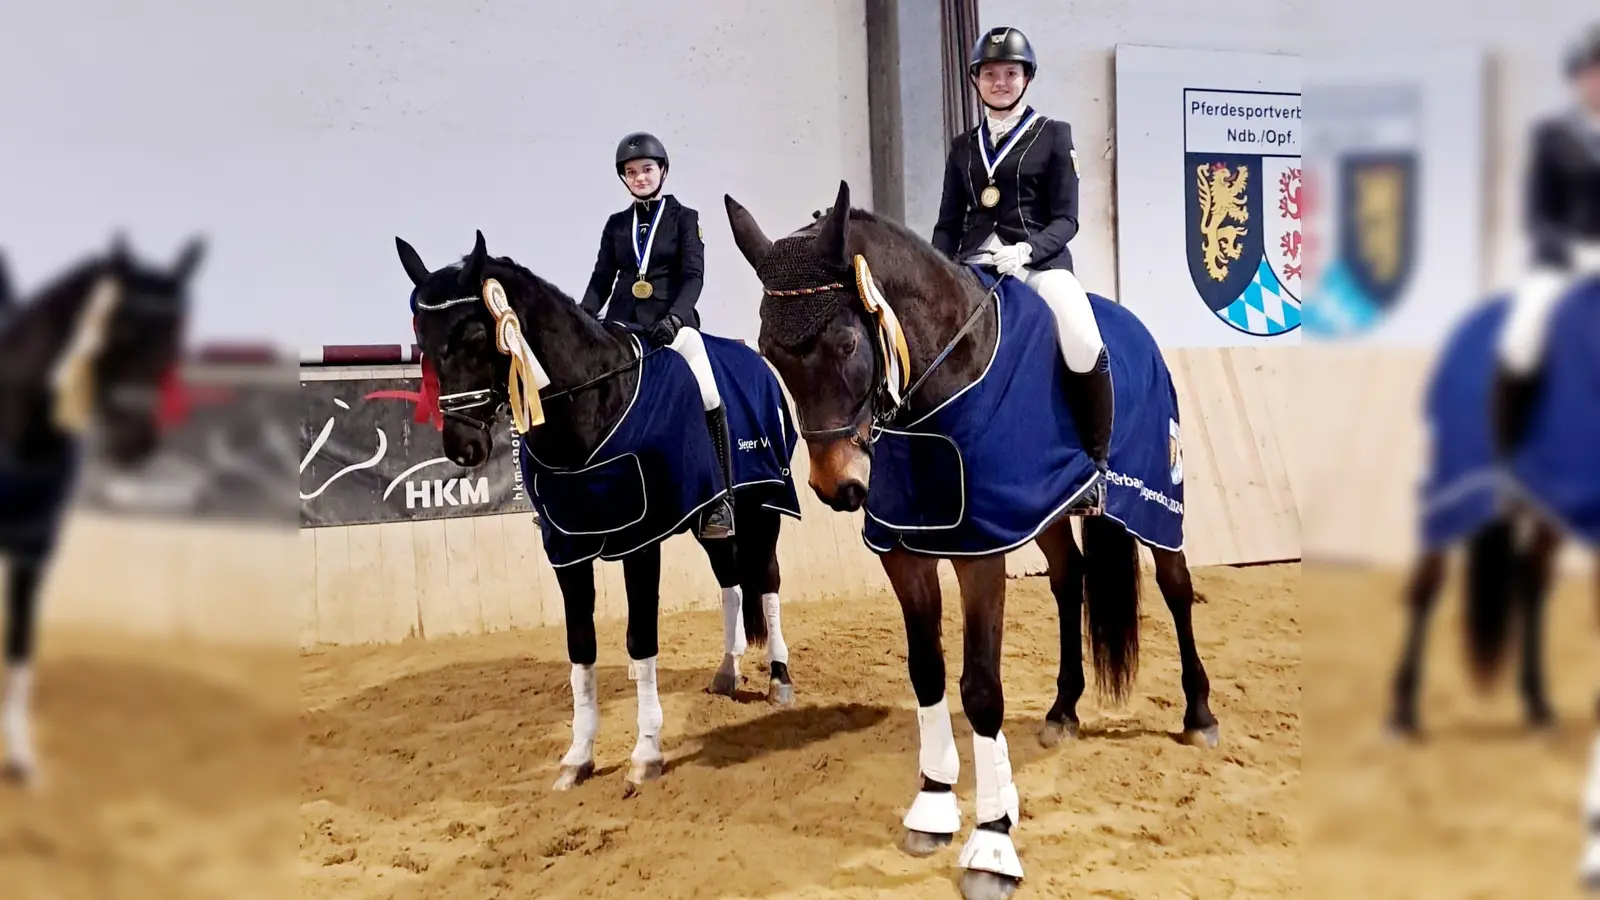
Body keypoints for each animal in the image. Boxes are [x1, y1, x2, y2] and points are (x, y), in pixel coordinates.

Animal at [0, 235, 201, 781]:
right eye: (121, 326)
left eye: (178, 330)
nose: (136, 444)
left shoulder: (33, 550)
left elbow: (20, 646)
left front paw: (22, 759)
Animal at [395, 229, 806, 791]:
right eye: (422, 340)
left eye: (478, 337)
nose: (462, 448)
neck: (592, 402)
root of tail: (758, 363)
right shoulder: (566, 550)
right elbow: (581, 646)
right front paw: (578, 756)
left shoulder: (641, 540)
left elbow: (640, 639)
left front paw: (646, 753)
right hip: (710, 516)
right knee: (730, 581)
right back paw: (726, 671)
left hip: (764, 501)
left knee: (765, 580)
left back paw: (779, 679)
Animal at [723, 182, 1209, 896]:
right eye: (770, 351)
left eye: (844, 342)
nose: (838, 486)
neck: (943, 383)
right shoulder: (905, 550)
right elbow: (926, 670)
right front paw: (932, 807)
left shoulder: (980, 551)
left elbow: (981, 687)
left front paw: (992, 842)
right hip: (1045, 513)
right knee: (1069, 580)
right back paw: (1063, 710)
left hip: (1155, 502)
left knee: (1176, 588)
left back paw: (1200, 716)